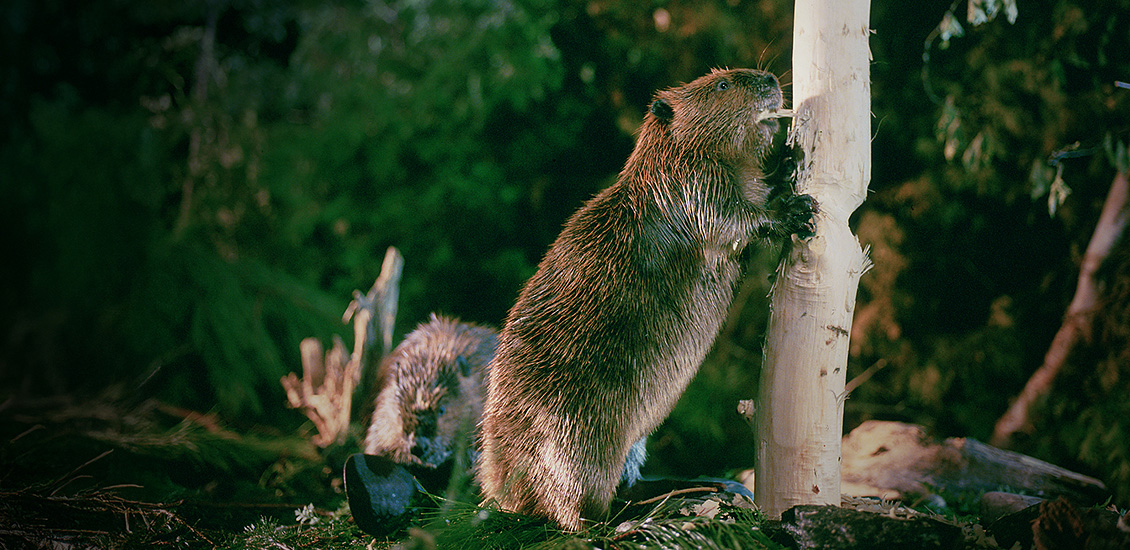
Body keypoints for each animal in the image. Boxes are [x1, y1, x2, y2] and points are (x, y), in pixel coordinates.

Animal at [474, 66, 813, 530]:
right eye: (723, 84)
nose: (769, 81)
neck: (658, 168)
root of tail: (499, 492)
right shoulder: (690, 184)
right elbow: (733, 220)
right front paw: (795, 211)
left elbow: (756, 191)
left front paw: (786, 163)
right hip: (575, 431)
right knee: (573, 505)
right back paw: (620, 520)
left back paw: (694, 488)